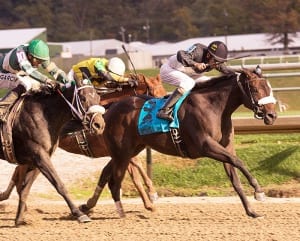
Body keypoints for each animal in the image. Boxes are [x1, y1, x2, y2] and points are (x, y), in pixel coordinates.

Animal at [0, 77, 105, 226]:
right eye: (83, 98)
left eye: (98, 97)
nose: (99, 125)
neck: (43, 116)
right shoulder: (40, 156)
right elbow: (59, 185)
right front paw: (80, 214)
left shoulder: (37, 160)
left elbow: (24, 189)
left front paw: (19, 220)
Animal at [89, 67, 276, 218]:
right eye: (255, 89)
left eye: (269, 88)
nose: (272, 115)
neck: (214, 107)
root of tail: (108, 111)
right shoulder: (206, 146)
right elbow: (239, 161)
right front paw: (259, 191)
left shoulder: (225, 147)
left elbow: (235, 178)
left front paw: (251, 211)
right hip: (122, 152)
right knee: (114, 182)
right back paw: (120, 213)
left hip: (129, 151)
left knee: (108, 174)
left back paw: (87, 208)